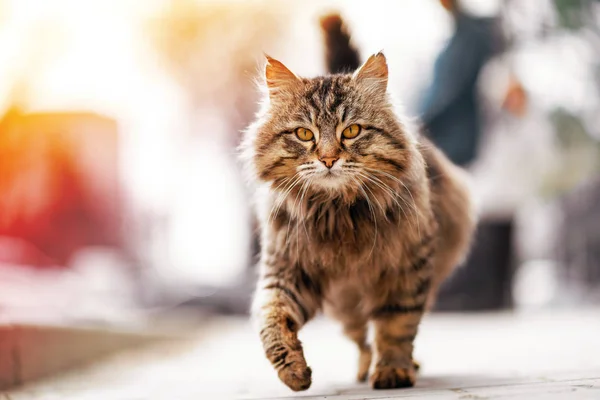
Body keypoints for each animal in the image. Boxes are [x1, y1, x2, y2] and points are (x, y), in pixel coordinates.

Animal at [239, 13, 474, 394]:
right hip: (346, 308)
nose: (328, 159)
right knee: (360, 337)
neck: (337, 214)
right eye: (304, 134)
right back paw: (364, 369)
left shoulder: (406, 267)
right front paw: (294, 372)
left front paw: (393, 370)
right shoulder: (288, 267)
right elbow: (272, 319)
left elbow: (396, 325)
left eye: (351, 131)